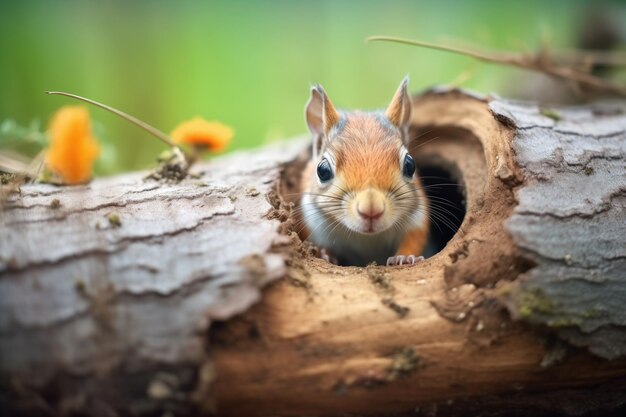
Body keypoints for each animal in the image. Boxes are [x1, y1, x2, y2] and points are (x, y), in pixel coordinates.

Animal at [298, 77, 426, 266]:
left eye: (410, 165)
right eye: (322, 170)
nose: (371, 209)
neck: (367, 238)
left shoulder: (417, 217)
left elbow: (414, 239)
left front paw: (404, 257)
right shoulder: (312, 221)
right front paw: (324, 253)